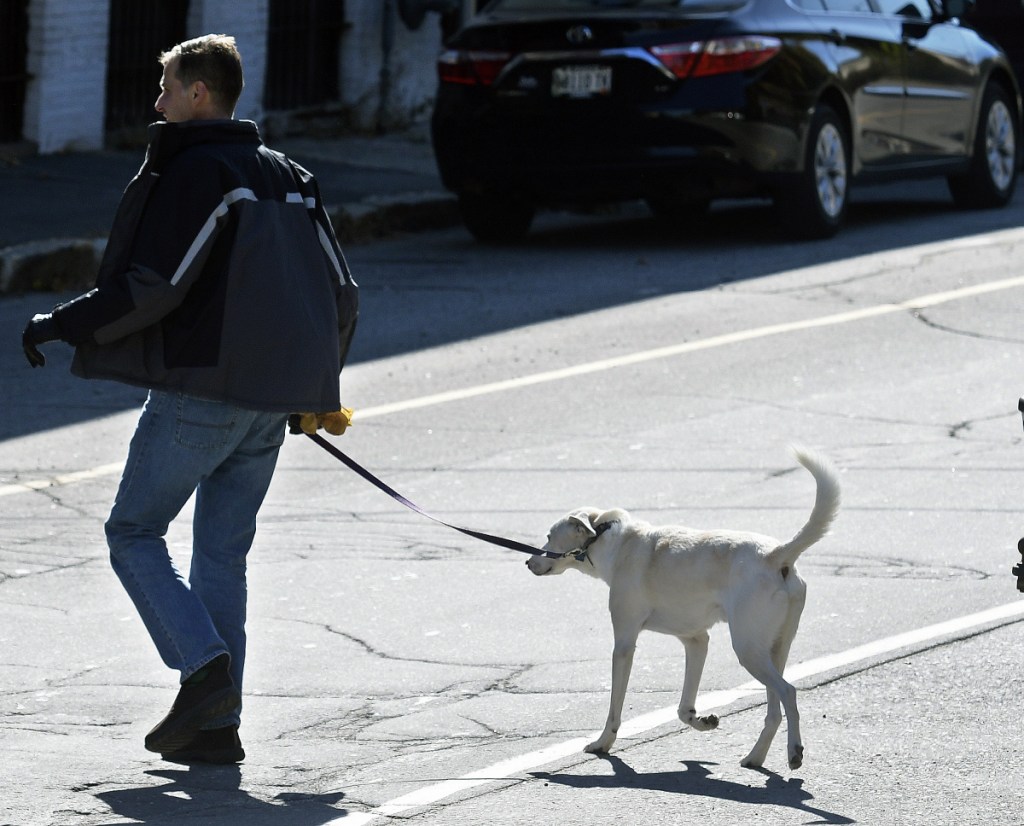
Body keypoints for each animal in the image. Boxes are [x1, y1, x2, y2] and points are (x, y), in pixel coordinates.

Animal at [528, 448, 839, 773]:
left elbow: (615, 707)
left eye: (549, 536)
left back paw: (794, 751)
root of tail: (776, 555)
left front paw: (602, 744)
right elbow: (683, 708)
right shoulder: (696, 641)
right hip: (774, 650)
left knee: (788, 692)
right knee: (774, 710)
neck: (604, 535)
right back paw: (755, 757)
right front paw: (702, 722)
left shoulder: (624, 645)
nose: (528, 562)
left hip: (749, 651)